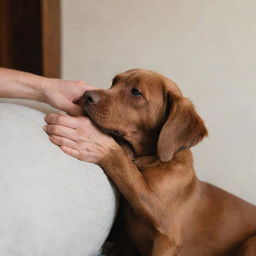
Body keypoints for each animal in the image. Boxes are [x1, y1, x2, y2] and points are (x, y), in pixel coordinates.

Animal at [83, 69, 255, 255]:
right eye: (114, 82)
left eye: (135, 92)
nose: (86, 95)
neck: (152, 160)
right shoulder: (126, 240)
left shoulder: (166, 238)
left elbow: (124, 165)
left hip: (250, 243)